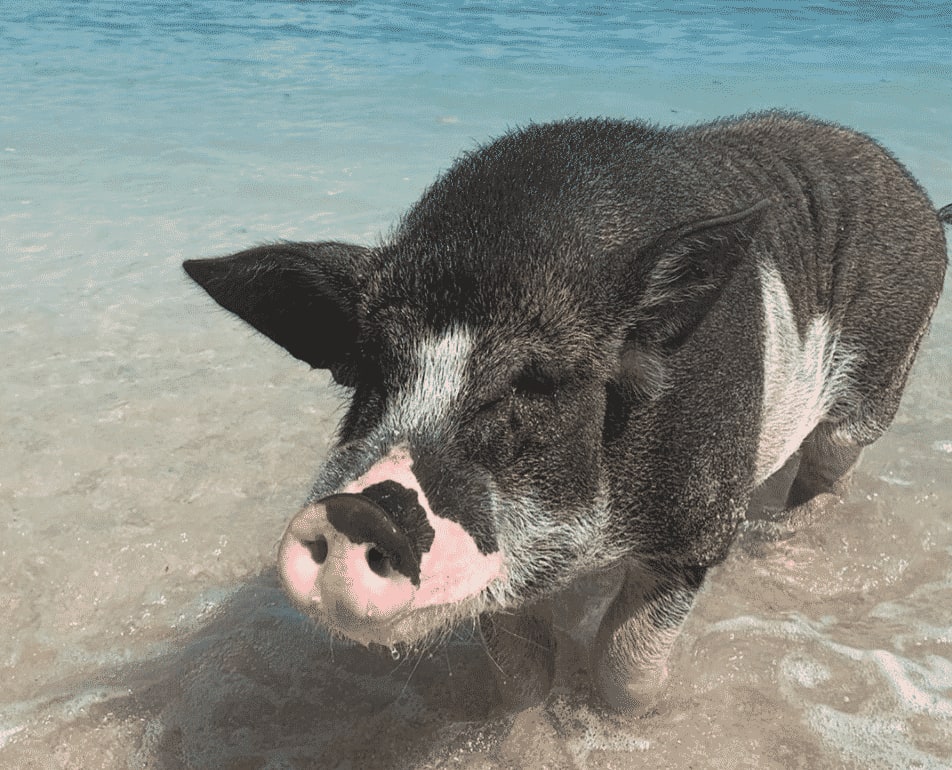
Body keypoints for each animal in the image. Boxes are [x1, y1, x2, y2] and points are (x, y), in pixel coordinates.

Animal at [184, 111, 950, 713]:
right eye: (370, 370)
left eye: (538, 381)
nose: (359, 510)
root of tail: (918, 196)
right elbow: (520, 672)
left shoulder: (697, 528)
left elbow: (626, 661)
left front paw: (621, 723)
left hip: (877, 383)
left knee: (831, 465)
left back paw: (786, 542)